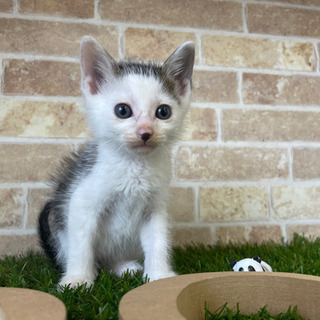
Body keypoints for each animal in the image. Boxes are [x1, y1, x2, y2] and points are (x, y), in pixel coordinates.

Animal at [37, 36, 192, 288]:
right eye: (122, 110)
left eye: (163, 112)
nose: (145, 132)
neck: (134, 166)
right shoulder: (81, 201)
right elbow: (82, 245)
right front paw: (77, 279)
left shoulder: (155, 209)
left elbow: (157, 241)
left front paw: (159, 275)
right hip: (60, 232)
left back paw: (123, 266)